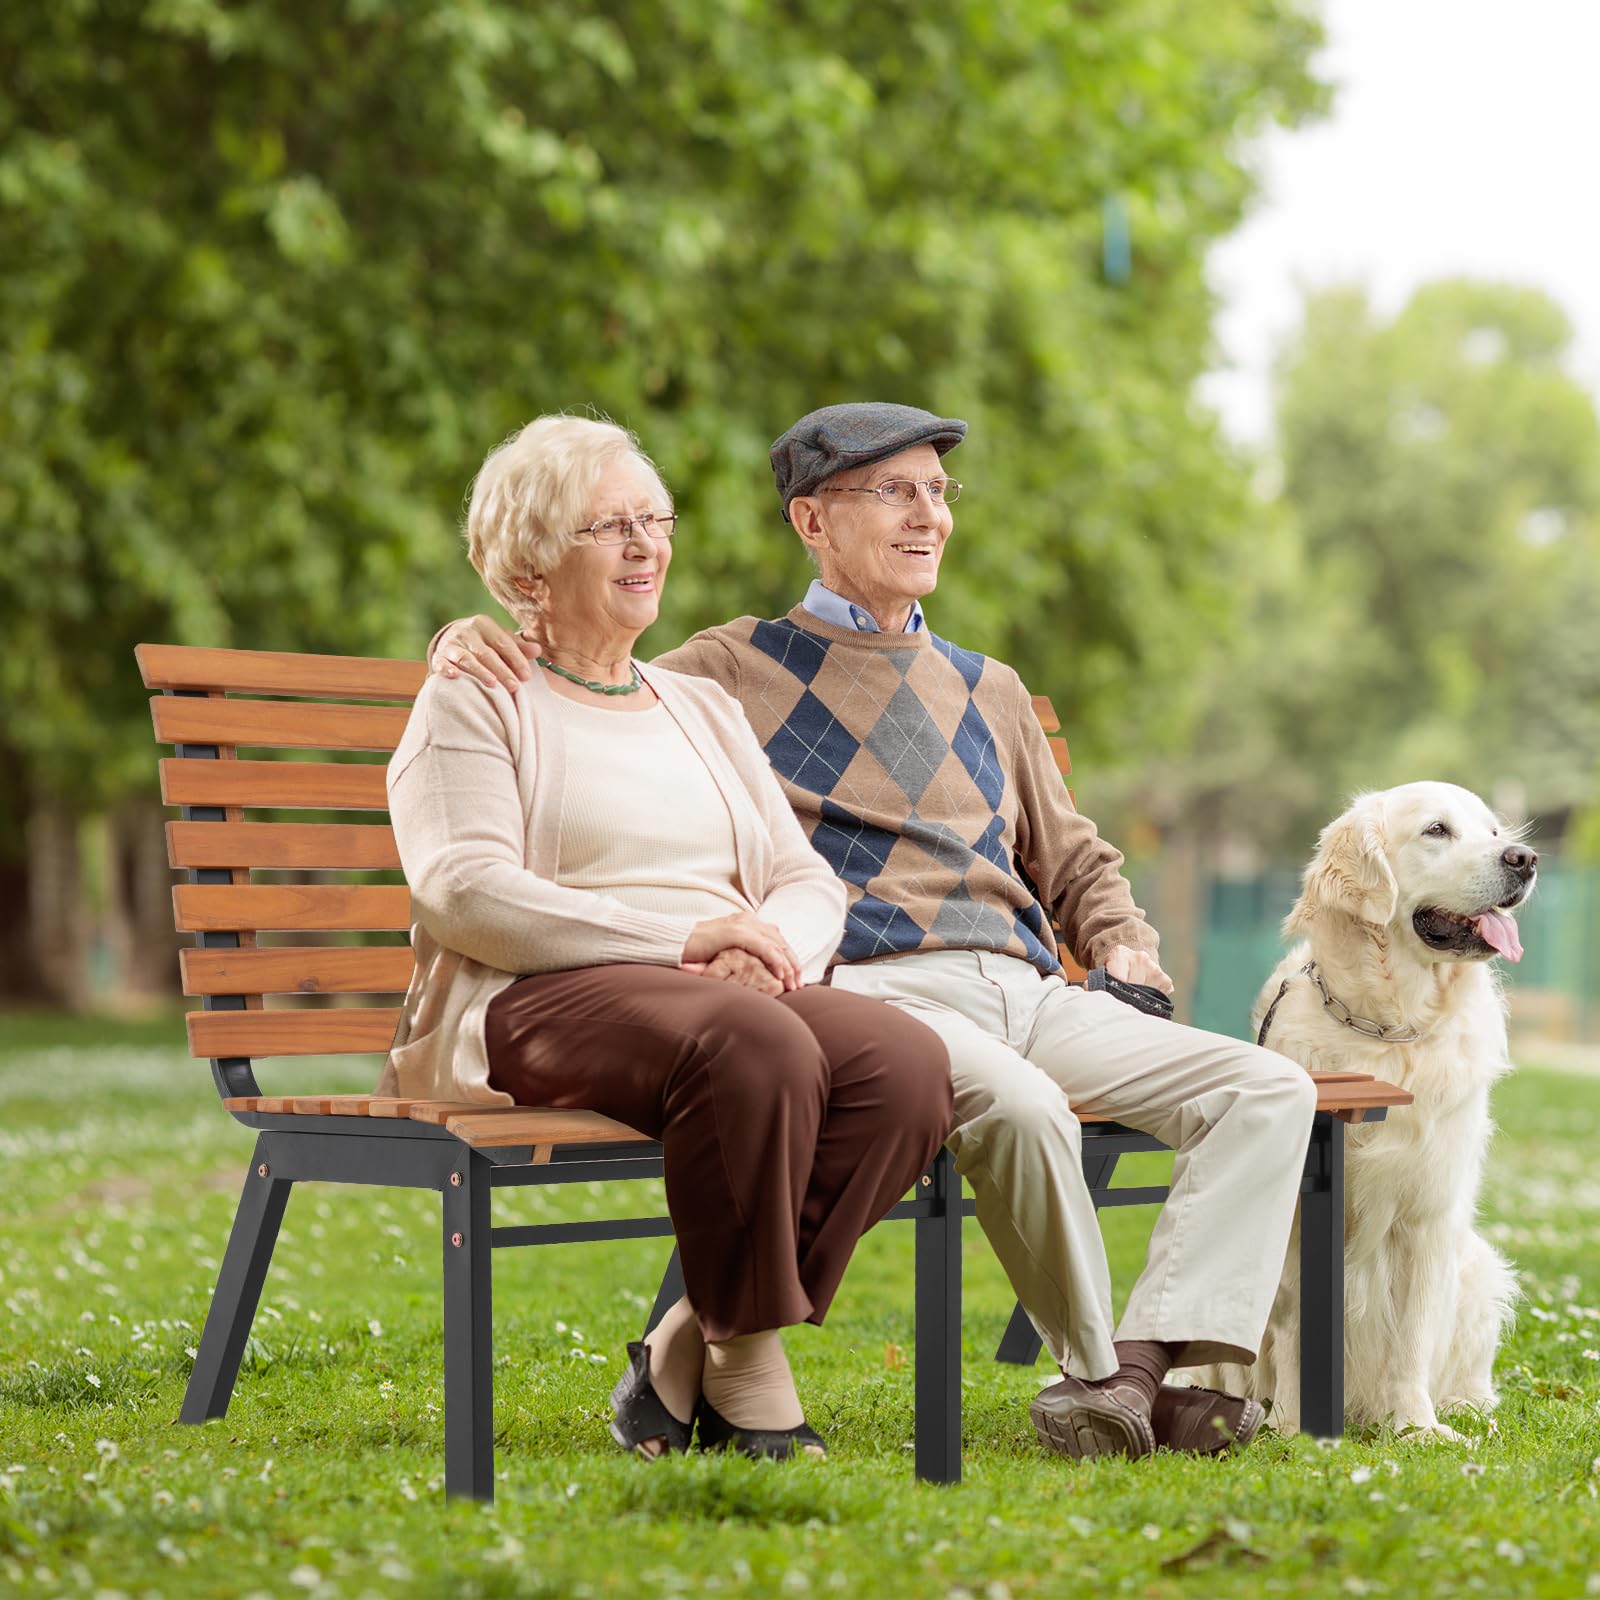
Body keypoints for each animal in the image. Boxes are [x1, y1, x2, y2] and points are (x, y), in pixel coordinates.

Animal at [1196, 784, 1529, 1440]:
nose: (1524, 860)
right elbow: (1295, 1325)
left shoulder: (1427, 1218)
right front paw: (1293, 1427)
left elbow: (1413, 1338)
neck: (1389, 1031)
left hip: (1476, 1267)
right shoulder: (1297, 1216)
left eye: (1494, 831)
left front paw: (1417, 1426)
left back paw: (1462, 1407)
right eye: (1436, 830)